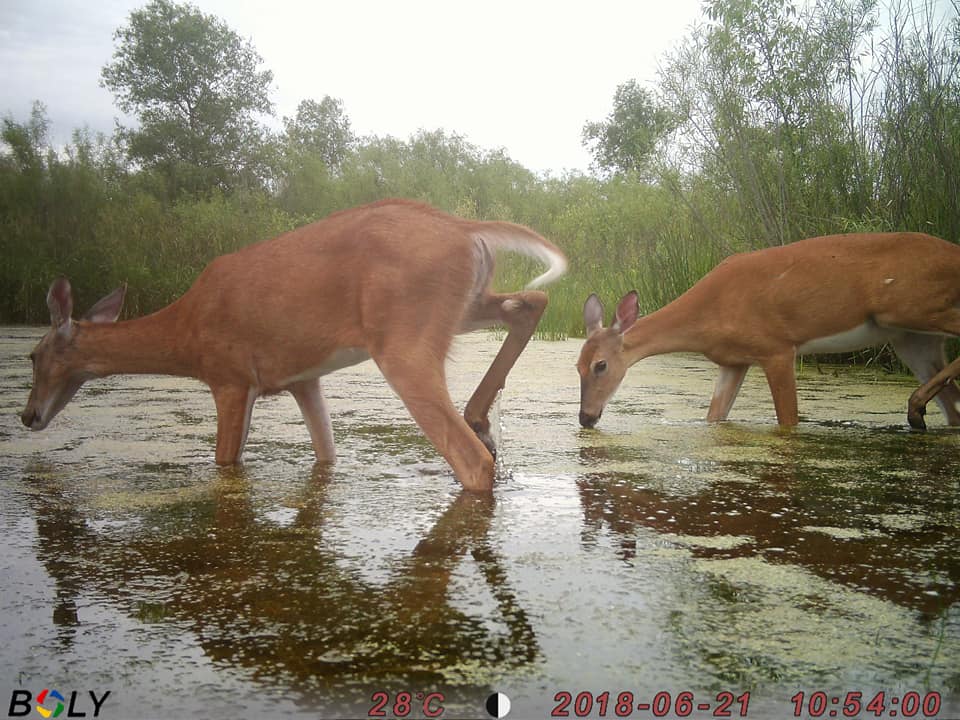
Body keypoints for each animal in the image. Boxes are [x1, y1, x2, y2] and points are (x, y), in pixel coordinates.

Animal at [21, 199, 567, 492]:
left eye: (34, 356)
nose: (28, 416)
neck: (185, 332)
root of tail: (464, 228)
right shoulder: (304, 379)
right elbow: (326, 455)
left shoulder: (230, 378)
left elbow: (225, 463)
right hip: (463, 308)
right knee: (532, 300)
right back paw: (482, 420)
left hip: (404, 341)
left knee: (471, 463)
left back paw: (478, 438)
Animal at [576, 232, 960, 431]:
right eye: (576, 367)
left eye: (601, 365)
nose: (586, 418)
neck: (709, 312)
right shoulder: (733, 360)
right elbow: (714, 417)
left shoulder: (777, 347)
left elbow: (788, 422)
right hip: (910, 337)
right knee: (952, 407)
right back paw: (918, 413)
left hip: (913, 306)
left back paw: (914, 407)